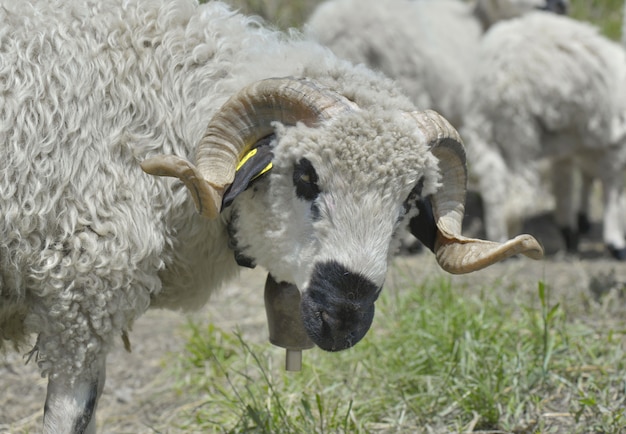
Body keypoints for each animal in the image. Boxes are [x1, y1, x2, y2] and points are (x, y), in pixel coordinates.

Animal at [458, 11, 624, 262]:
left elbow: (567, 182)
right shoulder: (613, 145)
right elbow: (611, 188)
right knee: (519, 190)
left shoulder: (571, 146)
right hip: (520, 129)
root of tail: (495, 76)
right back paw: (512, 239)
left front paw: (571, 230)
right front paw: (614, 241)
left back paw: (498, 237)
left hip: (483, 128)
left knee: (494, 184)